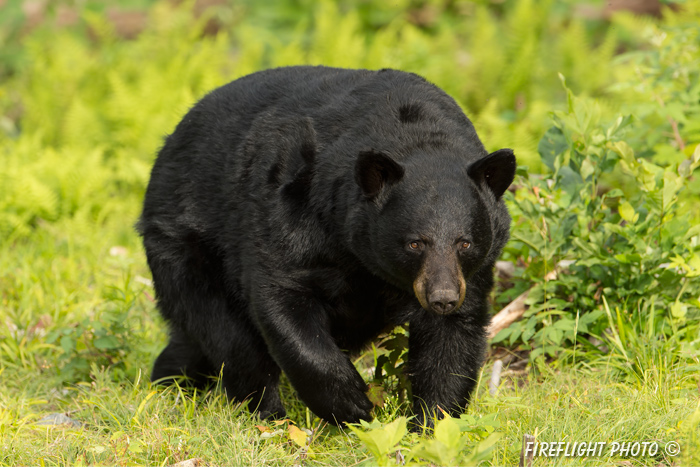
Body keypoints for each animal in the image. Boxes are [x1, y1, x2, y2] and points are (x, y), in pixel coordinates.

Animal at [138, 66, 516, 428]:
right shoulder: (295, 211)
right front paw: (351, 404)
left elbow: (451, 341)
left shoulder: (471, 272)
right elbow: (282, 296)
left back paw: (170, 379)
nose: (443, 298)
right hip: (185, 245)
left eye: (465, 242)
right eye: (414, 243)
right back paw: (266, 414)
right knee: (230, 338)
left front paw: (431, 423)